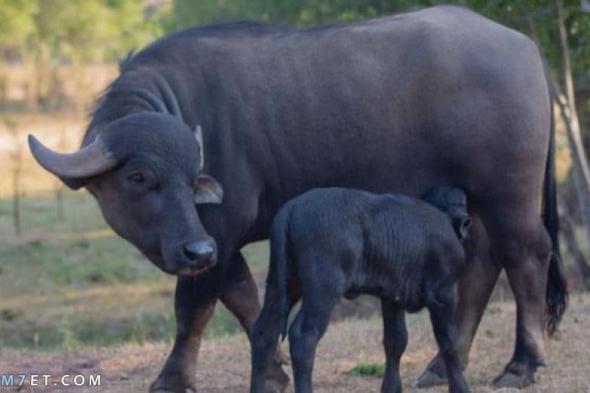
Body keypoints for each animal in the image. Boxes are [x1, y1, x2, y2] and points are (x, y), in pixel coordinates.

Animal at [252, 187, 474, 392]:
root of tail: (291, 208)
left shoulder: (392, 297)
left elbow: (396, 341)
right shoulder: (443, 294)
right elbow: (449, 342)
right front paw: (460, 387)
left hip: (281, 284)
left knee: (264, 332)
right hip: (323, 290)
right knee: (303, 336)